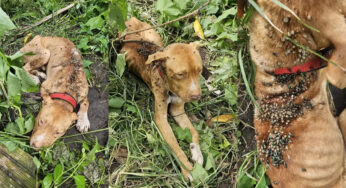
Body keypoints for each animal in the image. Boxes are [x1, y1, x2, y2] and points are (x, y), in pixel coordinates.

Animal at [121, 18, 204, 181]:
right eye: (180, 74)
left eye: (199, 70)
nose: (196, 96)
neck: (169, 86)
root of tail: (132, 23)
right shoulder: (161, 119)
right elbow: (175, 146)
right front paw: (187, 169)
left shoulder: (178, 110)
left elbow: (194, 131)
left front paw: (196, 151)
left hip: (154, 37)